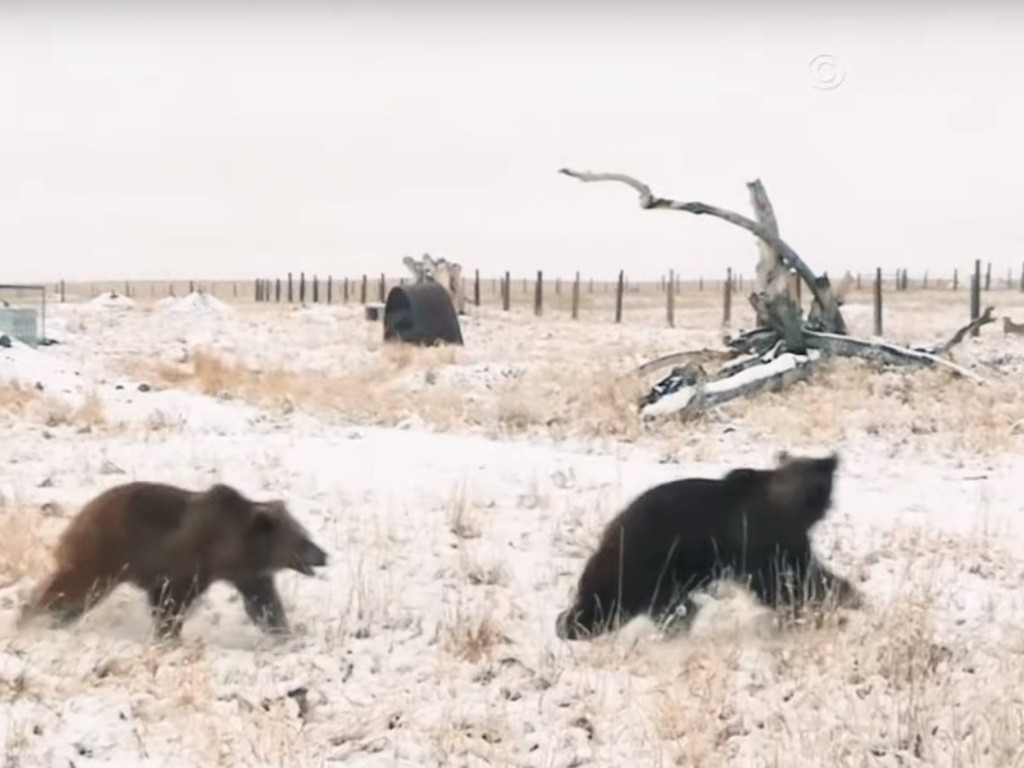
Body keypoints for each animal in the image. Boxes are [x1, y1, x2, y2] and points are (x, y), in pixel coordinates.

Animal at [17, 481, 328, 640]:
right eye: (302, 539)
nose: (324, 555)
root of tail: (84, 511)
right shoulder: (190, 563)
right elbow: (174, 602)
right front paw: (170, 634)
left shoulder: (249, 576)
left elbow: (264, 604)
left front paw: (286, 633)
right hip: (106, 550)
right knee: (73, 586)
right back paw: (29, 617)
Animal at [555, 451, 861, 641]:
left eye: (823, 482)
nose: (825, 505)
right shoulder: (762, 543)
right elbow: (788, 583)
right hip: (648, 561)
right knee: (609, 598)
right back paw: (572, 624)